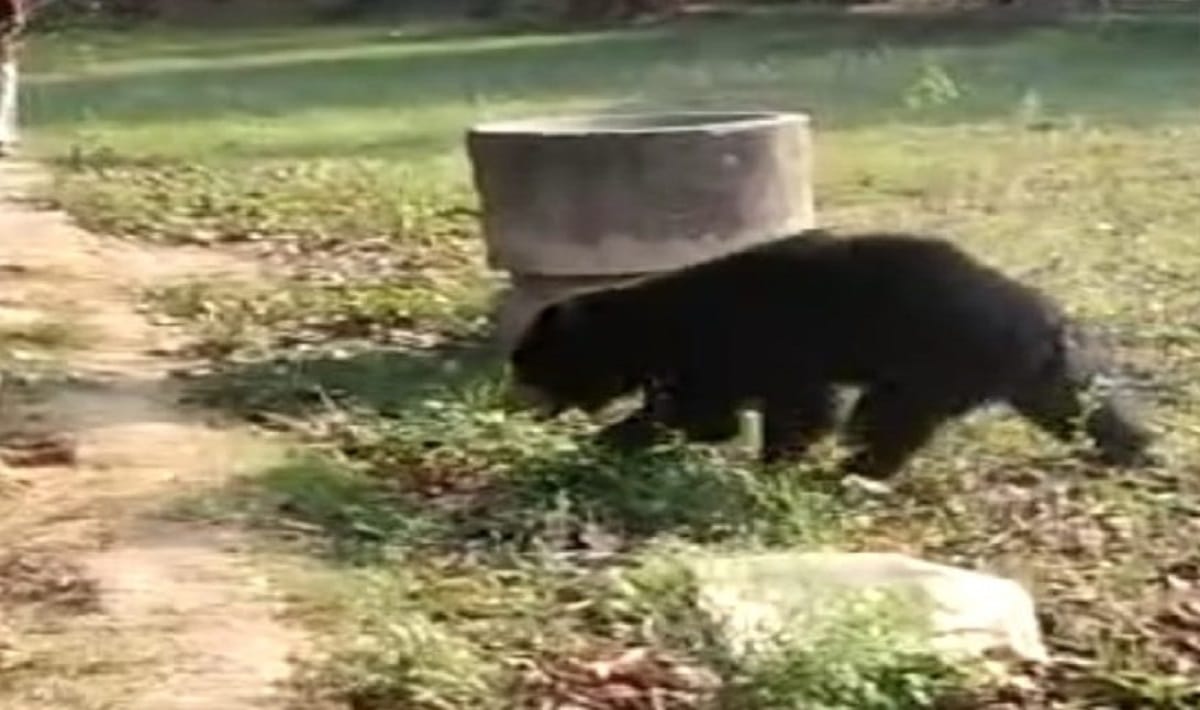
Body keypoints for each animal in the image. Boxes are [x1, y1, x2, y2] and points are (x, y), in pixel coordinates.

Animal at [507, 229, 1156, 479]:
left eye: (531, 368)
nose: (520, 405)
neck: (651, 322)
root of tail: (1043, 314)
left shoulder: (749, 344)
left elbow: (765, 409)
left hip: (940, 357)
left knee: (888, 417)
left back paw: (856, 469)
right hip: (1026, 370)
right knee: (1077, 406)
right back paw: (1135, 453)